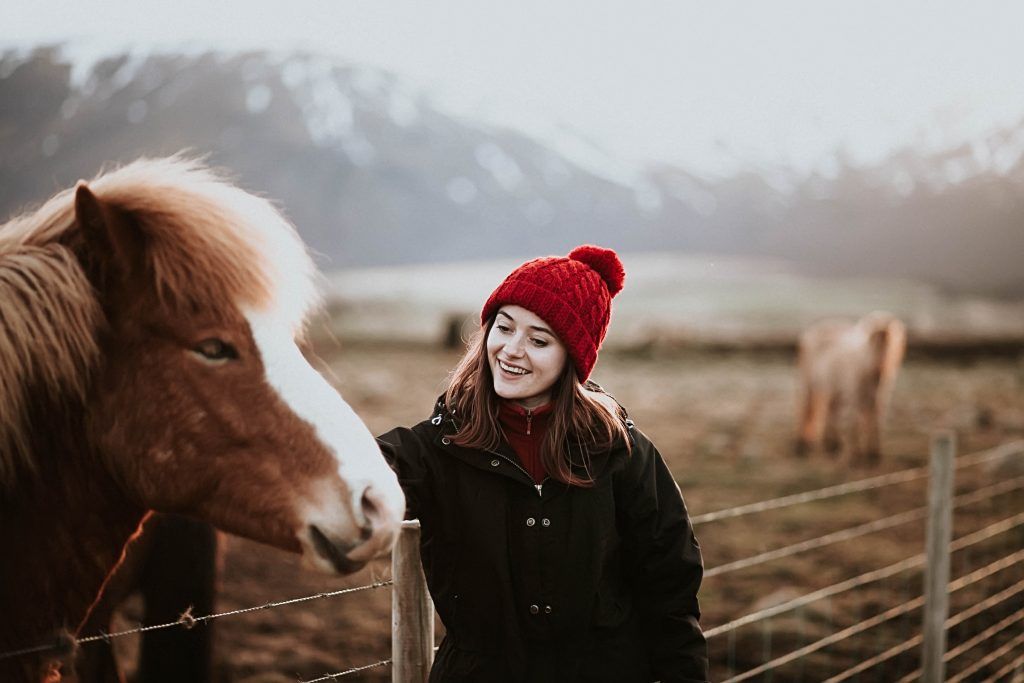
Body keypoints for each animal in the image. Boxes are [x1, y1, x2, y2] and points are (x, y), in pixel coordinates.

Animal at [790, 313, 905, 466]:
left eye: (892, 345)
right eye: (875, 342)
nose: (881, 371)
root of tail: (809, 333)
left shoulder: (877, 400)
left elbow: (875, 423)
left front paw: (874, 455)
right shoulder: (855, 396)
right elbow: (855, 425)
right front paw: (855, 458)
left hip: (833, 389)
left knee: (830, 411)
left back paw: (831, 446)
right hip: (809, 383)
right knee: (804, 410)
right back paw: (801, 447)